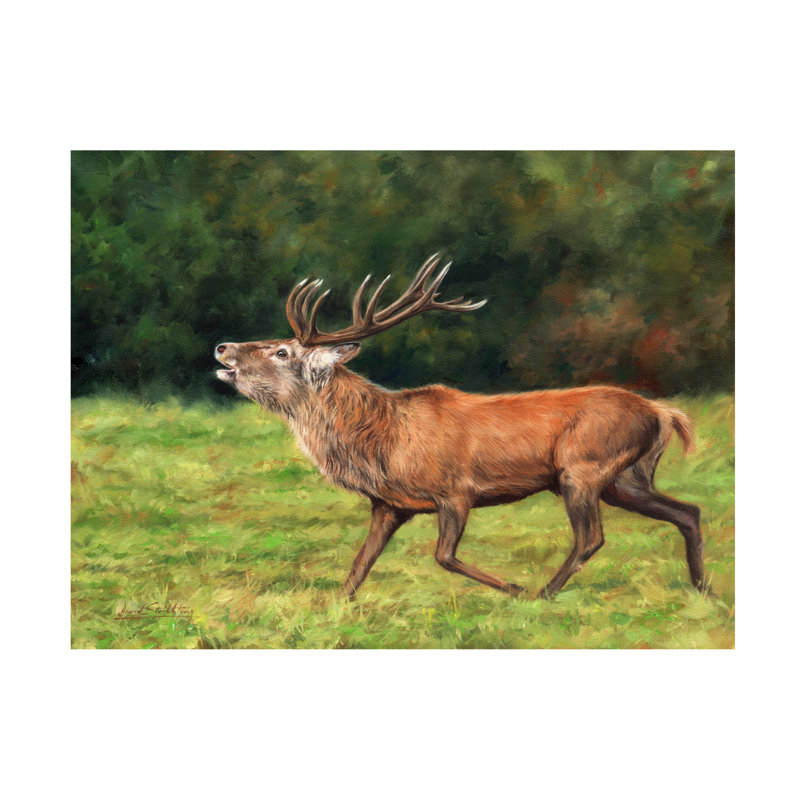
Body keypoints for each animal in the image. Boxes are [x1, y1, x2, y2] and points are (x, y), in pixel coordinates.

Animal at [214, 254, 708, 600]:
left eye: (281, 351)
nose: (223, 347)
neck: (382, 442)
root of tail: (663, 413)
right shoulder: (388, 505)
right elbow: (359, 566)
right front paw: (337, 608)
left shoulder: (455, 490)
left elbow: (444, 556)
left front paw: (514, 589)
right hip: (626, 478)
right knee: (688, 511)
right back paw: (704, 590)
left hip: (583, 468)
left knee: (591, 537)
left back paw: (544, 593)